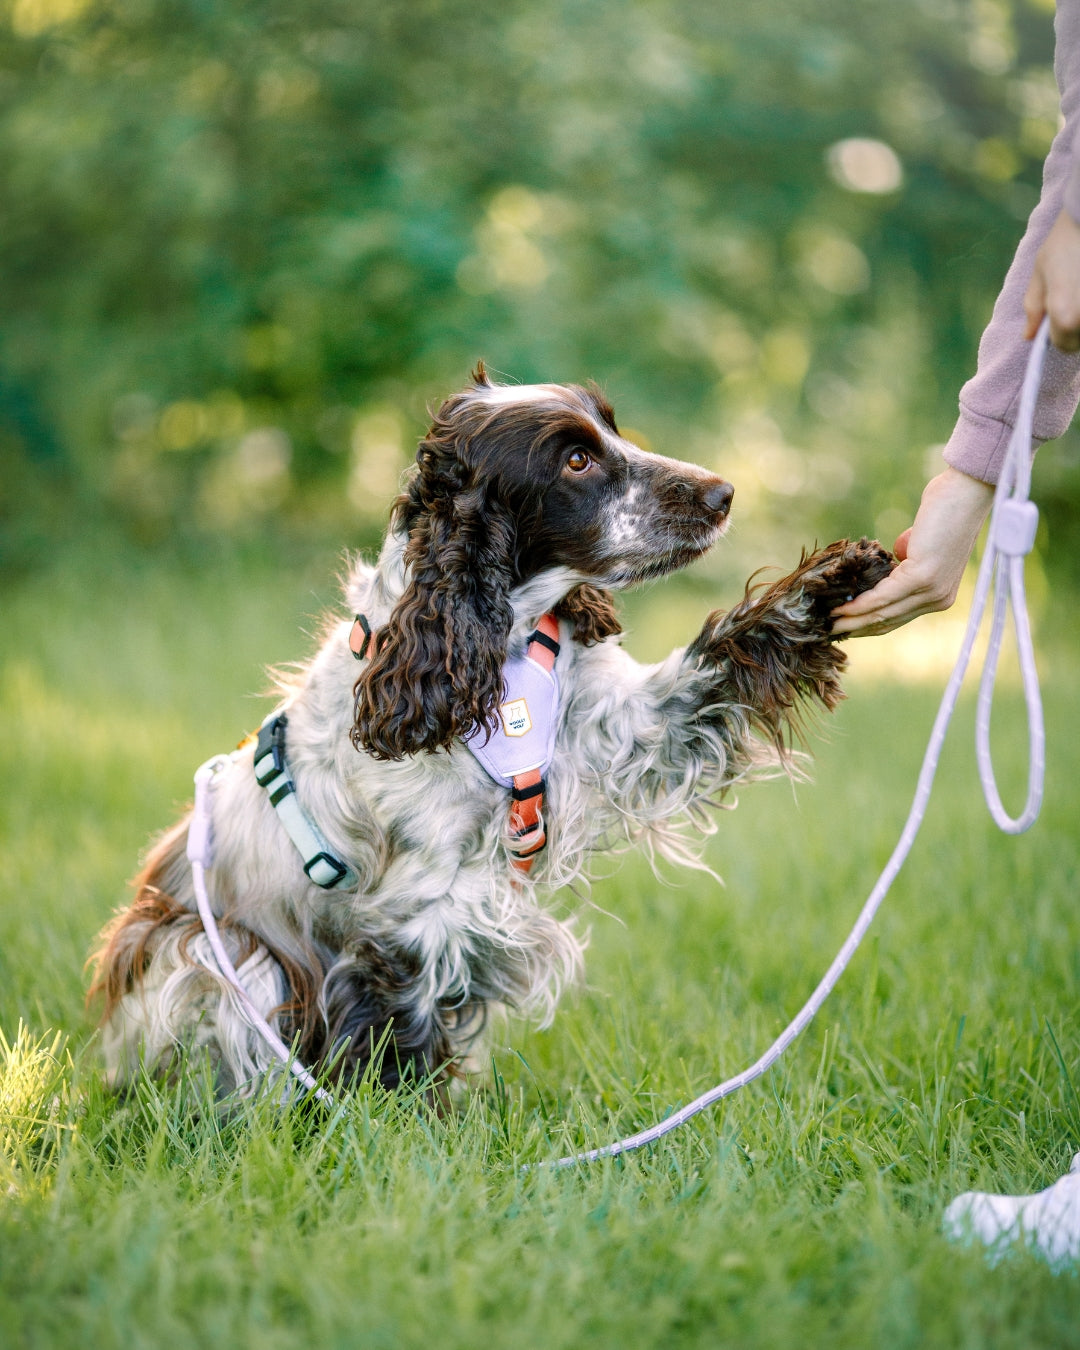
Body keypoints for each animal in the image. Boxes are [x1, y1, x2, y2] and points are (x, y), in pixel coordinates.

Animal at [88, 367, 891, 1096]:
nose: (722, 493)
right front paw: (408, 1131)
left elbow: (718, 659)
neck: (491, 648)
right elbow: (398, 1038)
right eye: (576, 460)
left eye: (613, 432)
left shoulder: (622, 732)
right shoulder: (411, 915)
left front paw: (832, 582)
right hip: (216, 956)